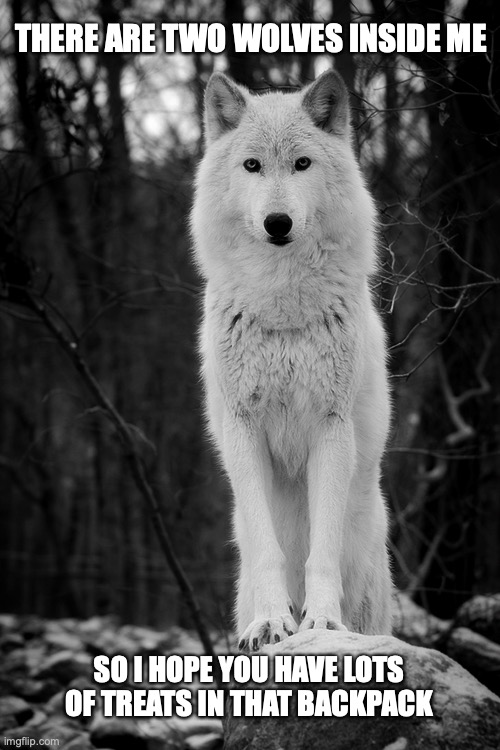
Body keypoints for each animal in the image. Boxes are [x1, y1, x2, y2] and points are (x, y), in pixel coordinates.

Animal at [191, 69, 392, 651]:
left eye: (302, 164)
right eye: (252, 165)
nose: (277, 222)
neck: (282, 307)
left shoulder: (331, 426)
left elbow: (319, 553)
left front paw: (321, 623)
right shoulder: (244, 428)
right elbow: (270, 553)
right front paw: (272, 623)